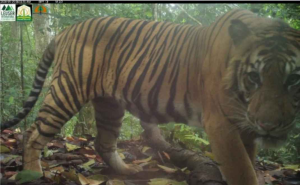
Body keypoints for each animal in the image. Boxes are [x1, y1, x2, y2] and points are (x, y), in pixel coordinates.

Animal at [0, 9, 300, 185]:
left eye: (293, 80)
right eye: (254, 77)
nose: (268, 126)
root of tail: (66, 30)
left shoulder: (244, 127)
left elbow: (248, 161)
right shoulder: (222, 125)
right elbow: (243, 170)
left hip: (110, 105)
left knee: (103, 142)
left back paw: (127, 172)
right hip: (68, 90)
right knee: (34, 133)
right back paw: (32, 173)